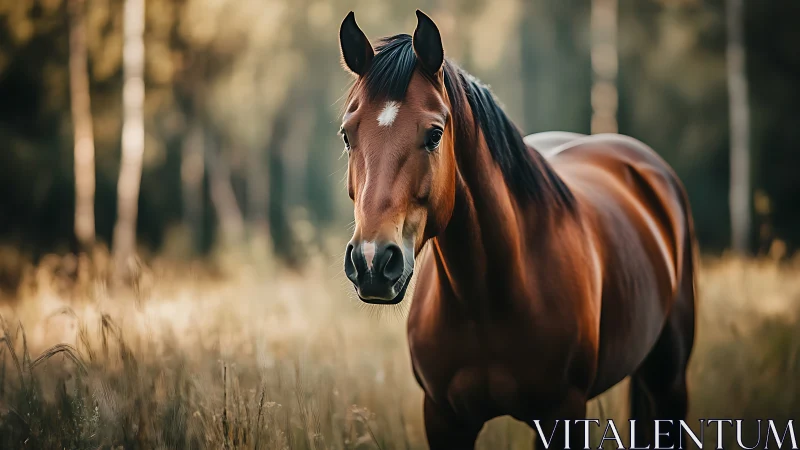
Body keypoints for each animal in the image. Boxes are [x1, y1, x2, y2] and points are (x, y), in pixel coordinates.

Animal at [338, 11, 697, 449]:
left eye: (434, 134)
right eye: (347, 135)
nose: (372, 263)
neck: (486, 300)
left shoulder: (563, 415)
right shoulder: (443, 418)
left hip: (670, 381)